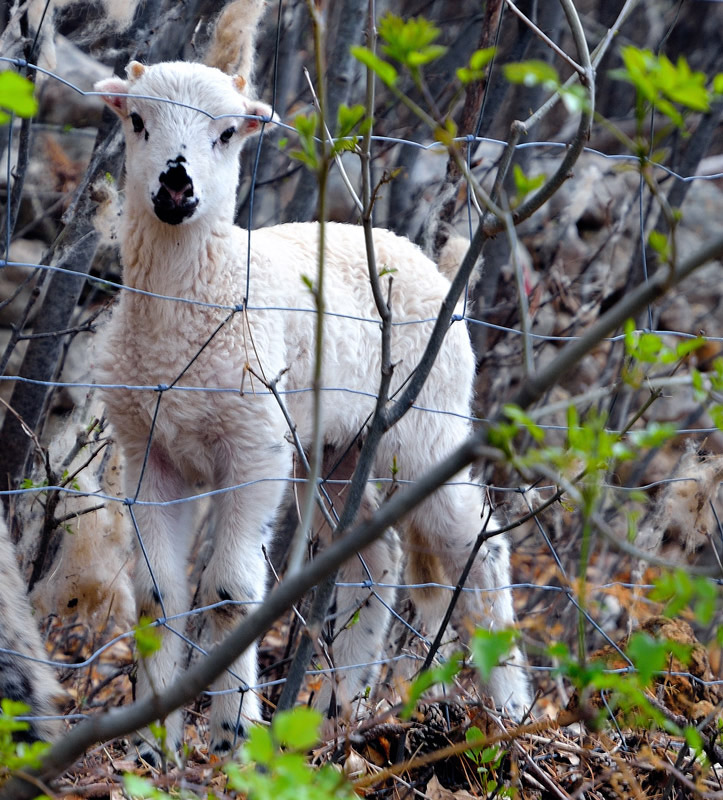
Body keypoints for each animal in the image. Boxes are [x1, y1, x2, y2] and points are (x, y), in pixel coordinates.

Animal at [93, 59, 528, 760]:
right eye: (137, 120)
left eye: (227, 134)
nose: (176, 186)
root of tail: (419, 256)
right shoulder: (149, 454)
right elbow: (156, 598)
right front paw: (151, 749)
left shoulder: (254, 448)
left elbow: (230, 592)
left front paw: (232, 742)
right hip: (338, 449)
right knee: (378, 556)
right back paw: (338, 711)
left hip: (428, 426)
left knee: (479, 547)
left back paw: (513, 710)